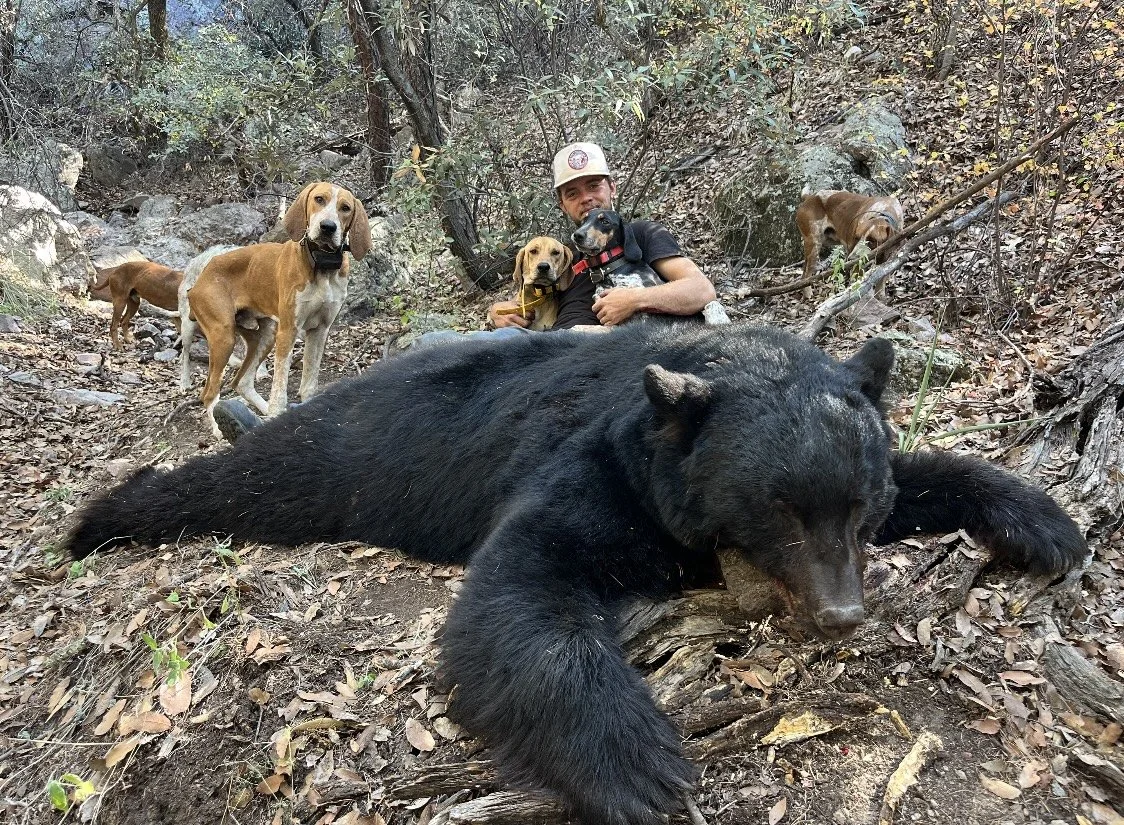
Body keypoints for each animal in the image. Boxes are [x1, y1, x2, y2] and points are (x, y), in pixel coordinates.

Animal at [66, 323, 1086, 825]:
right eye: (778, 508)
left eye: (859, 502)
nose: (841, 612)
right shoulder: (601, 467)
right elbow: (519, 585)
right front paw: (643, 764)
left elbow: (936, 471)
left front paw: (1047, 524)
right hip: (333, 459)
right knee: (242, 477)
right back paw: (100, 519)